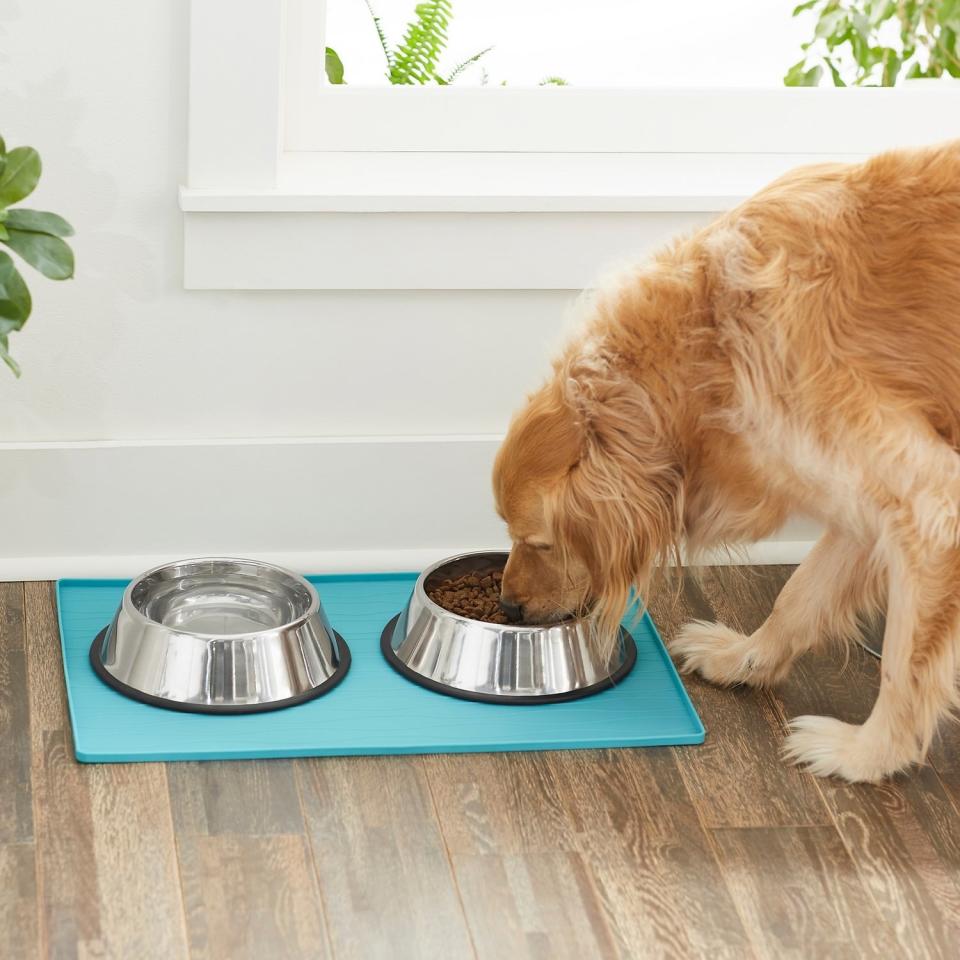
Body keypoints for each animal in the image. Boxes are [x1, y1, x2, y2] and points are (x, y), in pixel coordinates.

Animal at [496, 141, 960, 780]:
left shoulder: (932, 506)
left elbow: (902, 665)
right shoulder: (859, 493)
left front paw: (866, 755)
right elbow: (799, 596)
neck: (711, 341)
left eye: (539, 542)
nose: (507, 605)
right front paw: (745, 659)